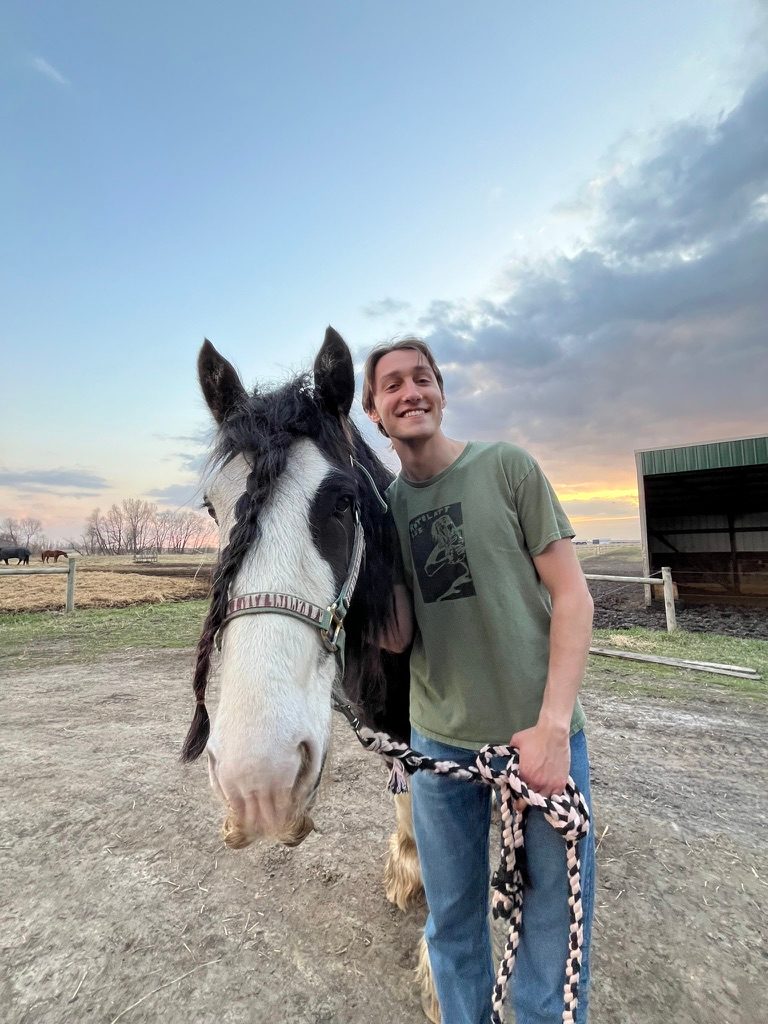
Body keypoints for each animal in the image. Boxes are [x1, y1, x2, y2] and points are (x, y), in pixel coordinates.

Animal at [182, 327, 437, 1017]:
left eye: (345, 503)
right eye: (212, 509)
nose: (257, 784)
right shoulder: (396, 734)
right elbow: (413, 805)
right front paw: (410, 873)